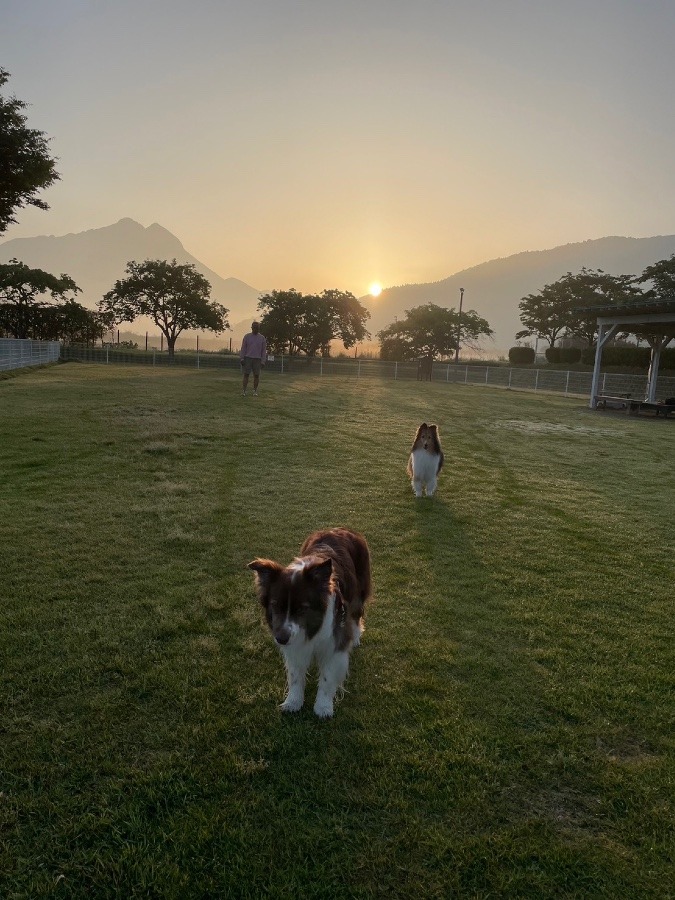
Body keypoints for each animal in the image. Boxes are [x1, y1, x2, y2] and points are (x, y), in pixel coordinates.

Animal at [248, 528, 374, 716]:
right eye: (275, 606)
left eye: (302, 608)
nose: (281, 639)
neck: (312, 627)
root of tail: (340, 528)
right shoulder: (294, 643)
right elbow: (295, 676)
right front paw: (293, 702)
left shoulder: (335, 642)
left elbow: (328, 677)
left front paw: (323, 707)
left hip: (359, 591)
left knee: (357, 614)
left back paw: (356, 636)